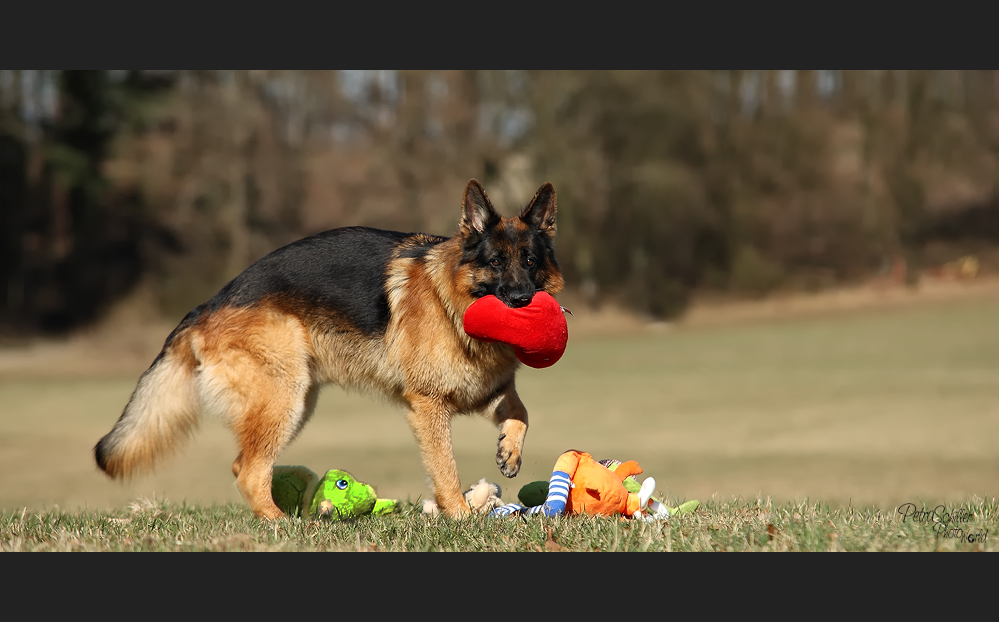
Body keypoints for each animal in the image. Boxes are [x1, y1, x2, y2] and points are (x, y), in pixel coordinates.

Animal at [94, 179, 564, 520]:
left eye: (530, 261)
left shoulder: (488, 388)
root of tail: (209, 304)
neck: (452, 301)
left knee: (246, 466)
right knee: (248, 470)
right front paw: (464, 518)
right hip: (282, 401)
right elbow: (445, 469)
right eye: (496, 262)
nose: (522, 300)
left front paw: (509, 451)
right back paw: (281, 524)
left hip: (297, 402)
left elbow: (521, 411)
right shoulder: (429, 407)